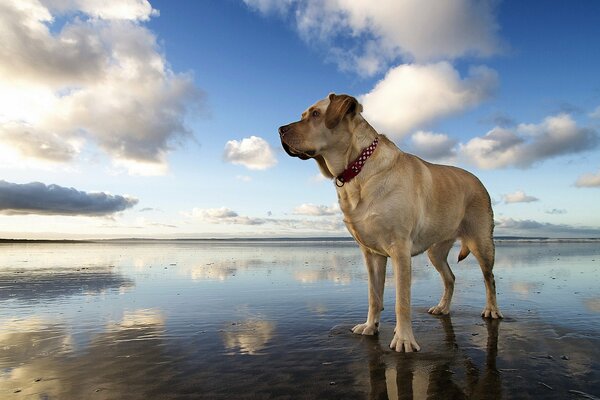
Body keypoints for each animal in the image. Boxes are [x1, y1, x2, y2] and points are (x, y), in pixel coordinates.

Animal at [278, 92, 504, 352]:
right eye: (303, 114)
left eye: (315, 114)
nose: (280, 129)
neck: (358, 169)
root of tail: (479, 180)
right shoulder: (371, 253)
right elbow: (374, 296)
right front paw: (370, 326)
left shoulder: (400, 250)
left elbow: (401, 301)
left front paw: (404, 339)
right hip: (435, 251)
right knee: (450, 278)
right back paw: (443, 307)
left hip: (482, 242)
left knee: (490, 279)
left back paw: (492, 310)